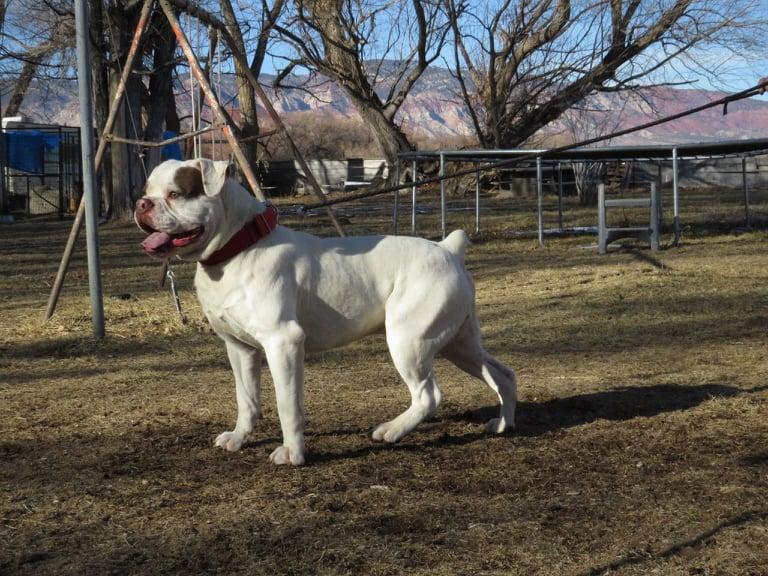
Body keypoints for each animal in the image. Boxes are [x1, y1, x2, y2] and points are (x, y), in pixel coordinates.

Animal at [135, 160, 516, 466]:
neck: (238, 247)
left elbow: (287, 405)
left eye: (174, 194)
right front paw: (240, 438)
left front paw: (293, 454)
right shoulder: (240, 349)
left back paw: (391, 431)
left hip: (409, 342)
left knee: (429, 395)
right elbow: (247, 400)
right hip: (457, 344)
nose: (142, 204)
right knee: (503, 374)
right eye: (148, 190)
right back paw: (503, 424)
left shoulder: (283, 344)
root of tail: (447, 249)